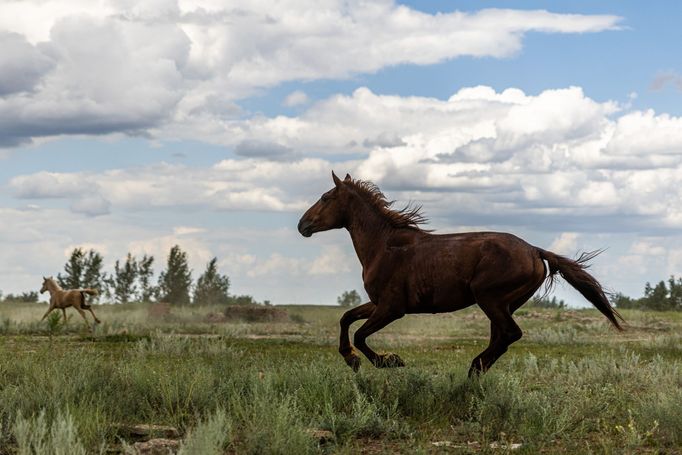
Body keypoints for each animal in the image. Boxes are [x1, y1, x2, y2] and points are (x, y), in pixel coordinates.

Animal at [298, 172, 620, 378]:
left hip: (490, 299)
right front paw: (351, 359)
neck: (385, 246)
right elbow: (346, 318)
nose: (302, 225)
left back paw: (473, 369)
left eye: (325, 197)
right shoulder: (378, 304)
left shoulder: (392, 308)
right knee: (501, 338)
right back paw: (475, 373)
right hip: (505, 304)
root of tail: (534, 251)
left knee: (509, 334)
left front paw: (387, 361)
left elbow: (361, 335)